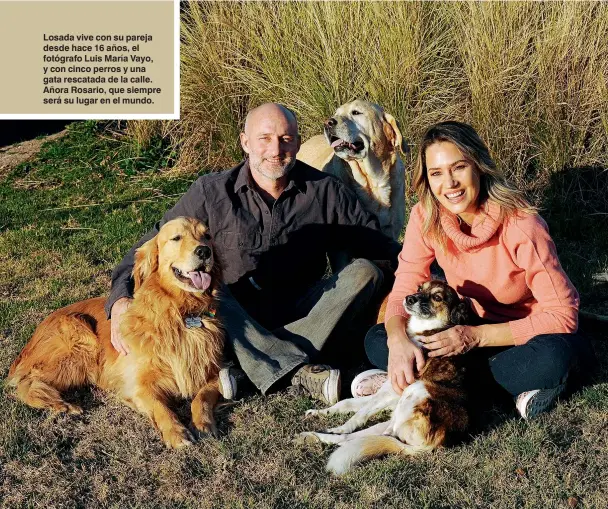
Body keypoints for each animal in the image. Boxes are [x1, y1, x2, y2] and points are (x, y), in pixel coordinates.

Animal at [6, 216, 226, 446]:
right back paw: (61, 404)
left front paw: (203, 423)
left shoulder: (215, 371)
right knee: (26, 381)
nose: (204, 251)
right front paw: (176, 432)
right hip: (80, 346)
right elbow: (161, 408)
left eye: (207, 236)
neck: (180, 312)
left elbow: (203, 397)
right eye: (176, 238)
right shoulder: (138, 385)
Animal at [302, 278, 472, 472]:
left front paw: (343, 425)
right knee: (357, 439)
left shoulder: (392, 390)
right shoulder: (389, 389)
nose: (409, 298)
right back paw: (317, 435)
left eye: (437, 297)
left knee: (385, 434)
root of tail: (438, 442)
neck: (425, 330)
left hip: (416, 389)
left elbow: (359, 413)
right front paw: (321, 413)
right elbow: (346, 403)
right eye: (419, 288)